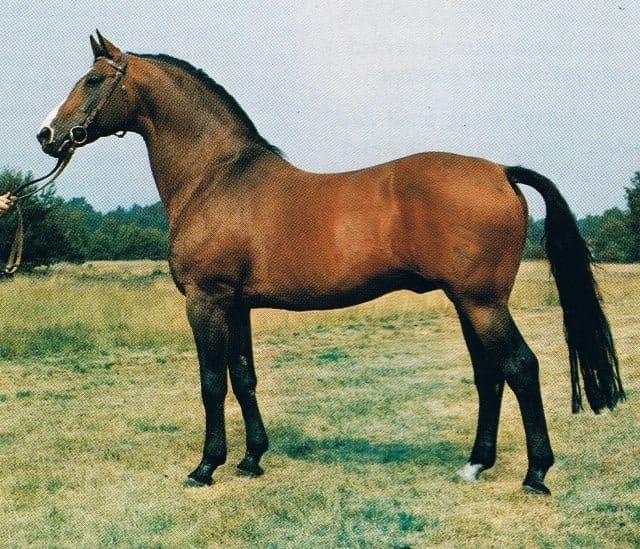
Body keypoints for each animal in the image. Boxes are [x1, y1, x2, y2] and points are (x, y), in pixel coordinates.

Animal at [36, 32, 624, 494]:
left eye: (93, 80)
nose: (46, 136)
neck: (216, 177)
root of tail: (501, 170)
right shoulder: (238, 305)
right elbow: (243, 377)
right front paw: (251, 460)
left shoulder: (207, 301)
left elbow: (211, 382)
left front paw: (206, 467)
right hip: (470, 303)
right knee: (489, 375)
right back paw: (476, 465)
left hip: (483, 304)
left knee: (521, 368)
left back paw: (536, 474)